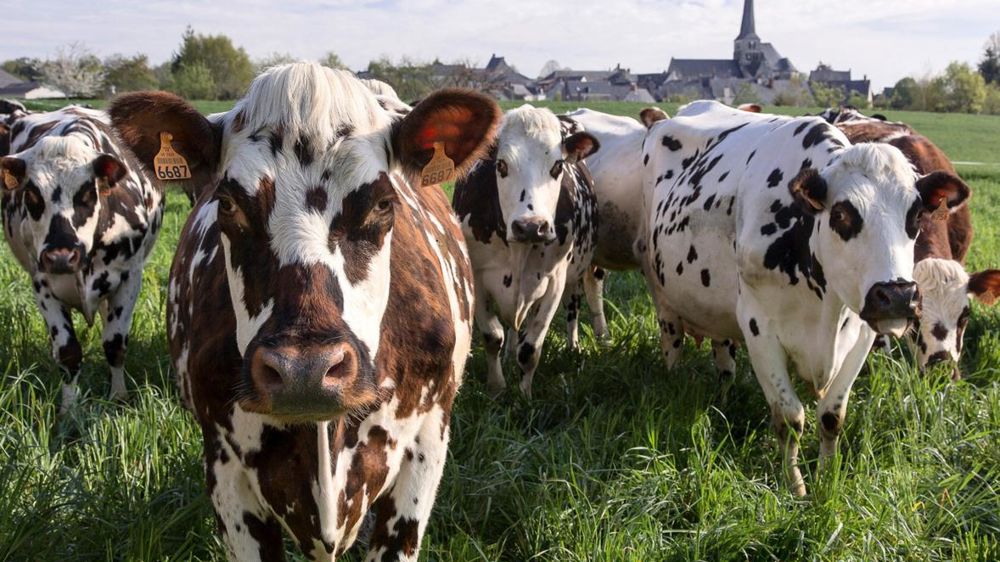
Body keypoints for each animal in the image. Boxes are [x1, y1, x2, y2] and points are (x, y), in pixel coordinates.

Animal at [0, 106, 164, 412]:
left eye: (87, 192)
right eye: (32, 194)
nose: (61, 256)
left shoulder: (130, 279)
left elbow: (114, 343)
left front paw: (118, 396)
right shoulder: (42, 284)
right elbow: (68, 352)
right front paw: (69, 409)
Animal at [453, 105, 599, 398]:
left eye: (557, 166)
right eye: (501, 165)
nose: (531, 226)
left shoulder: (554, 281)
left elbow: (531, 348)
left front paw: (525, 394)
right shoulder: (478, 275)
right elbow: (492, 336)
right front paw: (496, 387)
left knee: (574, 307)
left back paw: (574, 347)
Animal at [641, 100, 969, 495]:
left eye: (916, 214)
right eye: (841, 213)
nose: (897, 294)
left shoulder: (862, 334)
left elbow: (831, 416)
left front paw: (826, 479)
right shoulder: (759, 329)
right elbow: (789, 418)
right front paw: (795, 487)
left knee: (723, 356)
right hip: (661, 292)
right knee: (671, 342)